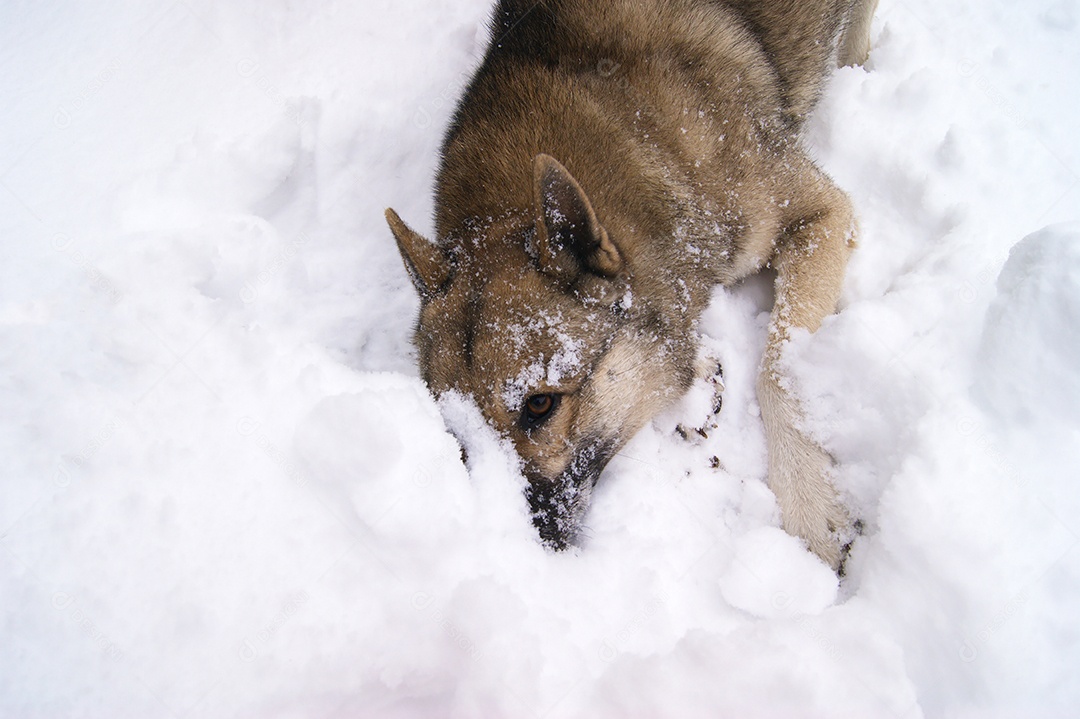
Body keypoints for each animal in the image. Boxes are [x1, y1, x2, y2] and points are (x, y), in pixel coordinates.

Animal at [388, 1, 876, 570]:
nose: (528, 551)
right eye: (460, 434)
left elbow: (777, 371)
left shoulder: (820, 216)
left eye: (540, 405)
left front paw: (811, 506)